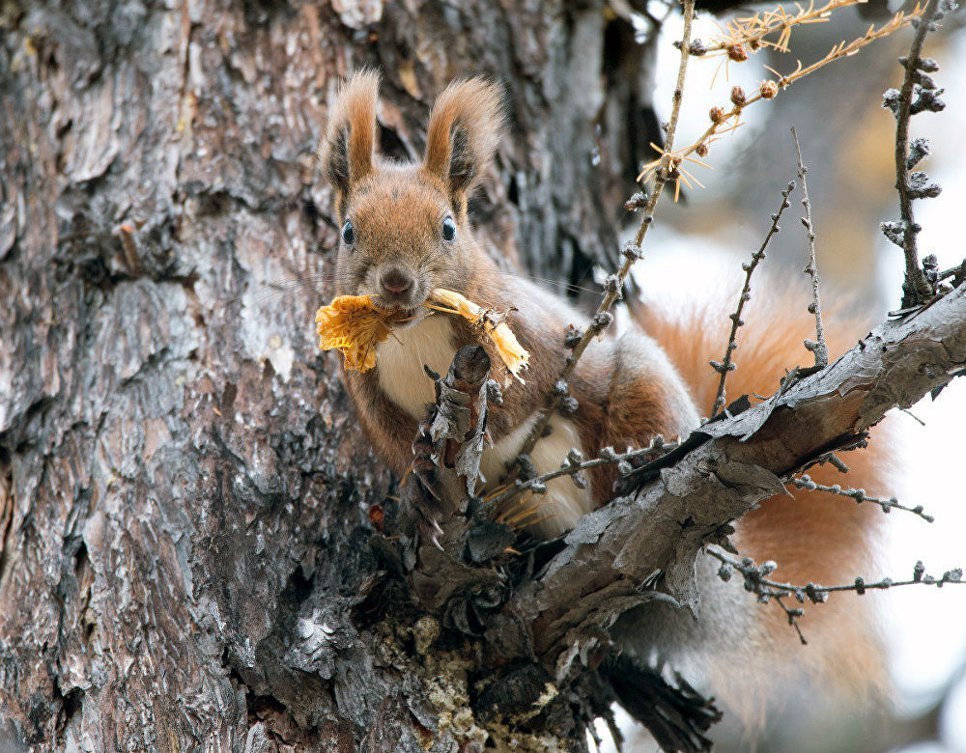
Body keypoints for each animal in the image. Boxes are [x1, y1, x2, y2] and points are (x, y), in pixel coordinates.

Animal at [322, 70, 888, 728]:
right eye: (347, 231)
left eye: (447, 227)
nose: (395, 283)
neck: (412, 334)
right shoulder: (363, 386)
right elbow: (391, 437)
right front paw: (417, 480)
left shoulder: (527, 340)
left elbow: (524, 398)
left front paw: (470, 429)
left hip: (640, 393)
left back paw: (636, 486)